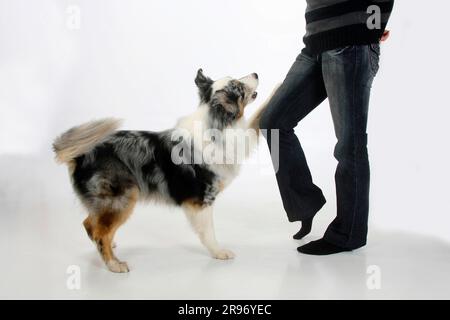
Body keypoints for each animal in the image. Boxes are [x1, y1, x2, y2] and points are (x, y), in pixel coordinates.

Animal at [54, 69, 276, 272]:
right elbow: (208, 232)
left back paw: (111, 244)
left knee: (90, 224)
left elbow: (257, 121)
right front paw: (219, 252)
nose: (256, 73)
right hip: (123, 197)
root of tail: (81, 155)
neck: (217, 123)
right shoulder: (203, 198)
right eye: (238, 86)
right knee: (99, 232)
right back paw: (114, 264)